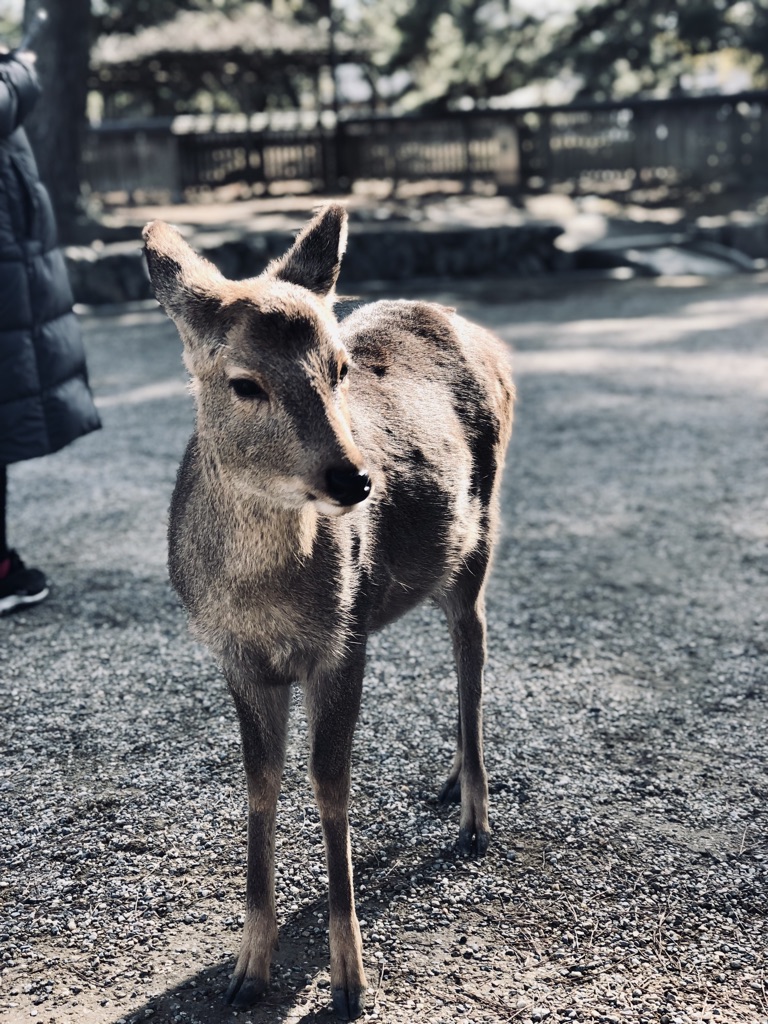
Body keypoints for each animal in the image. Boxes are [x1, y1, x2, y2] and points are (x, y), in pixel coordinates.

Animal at [142, 205, 514, 1021]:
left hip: (480, 536)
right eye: (243, 382)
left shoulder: (340, 645)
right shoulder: (236, 657)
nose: (355, 479)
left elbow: (330, 786)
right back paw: (449, 779)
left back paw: (474, 812)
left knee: (472, 652)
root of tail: (484, 335)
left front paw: (350, 978)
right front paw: (248, 968)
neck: (265, 602)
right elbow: (260, 784)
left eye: (339, 369)